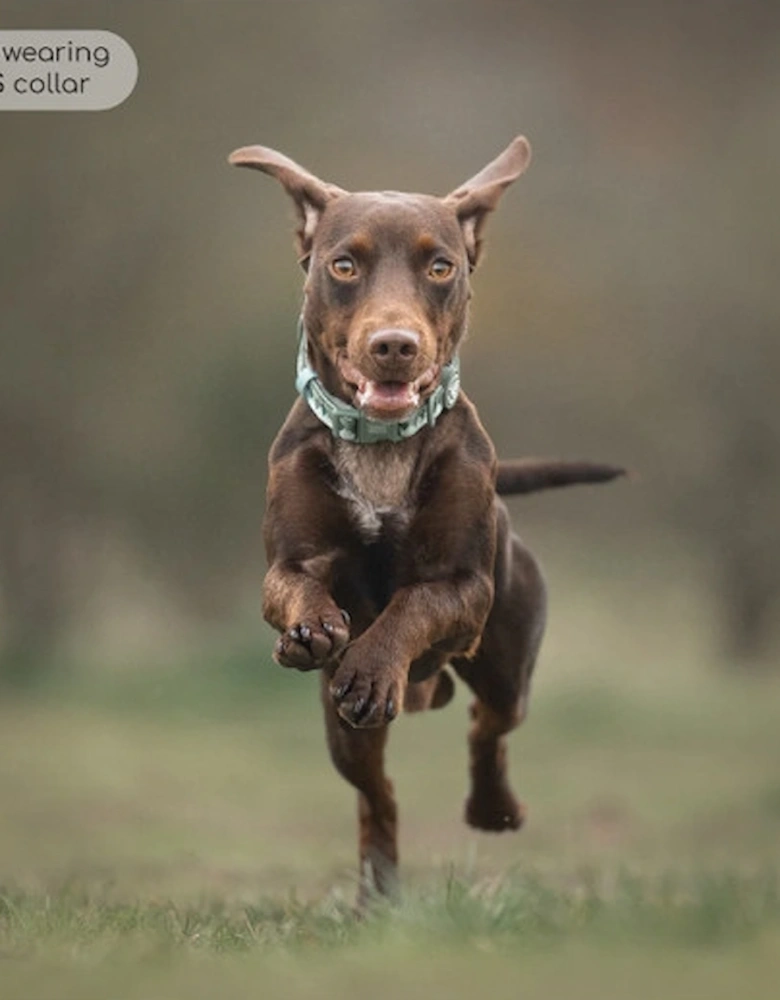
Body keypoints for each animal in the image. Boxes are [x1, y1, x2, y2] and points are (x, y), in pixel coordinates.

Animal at [229, 135, 624, 908]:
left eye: (440, 266)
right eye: (343, 264)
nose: (394, 344)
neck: (382, 446)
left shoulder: (463, 587)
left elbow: (411, 606)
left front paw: (374, 664)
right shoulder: (289, 564)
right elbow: (301, 588)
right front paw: (314, 630)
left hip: (506, 663)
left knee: (487, 726)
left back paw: (494, 808)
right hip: (345, 735)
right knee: (376, 797)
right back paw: (377, 897)